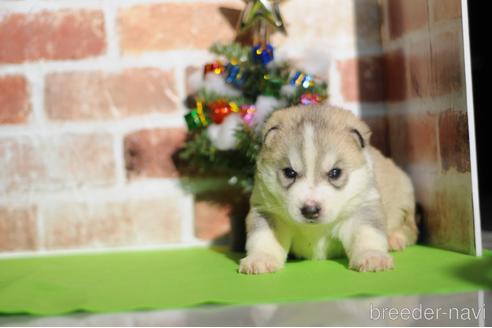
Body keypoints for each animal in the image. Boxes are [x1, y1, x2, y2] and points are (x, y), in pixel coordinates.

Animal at [240, 105, 418, 274]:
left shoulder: (363, 206)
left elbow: (367, 233)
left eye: (335, 173)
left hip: (404, 197)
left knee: (411, 229)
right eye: (289, 172)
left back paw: (395, 239)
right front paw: (260, 258)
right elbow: (264, 237)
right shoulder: (267, 210)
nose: (310, 210)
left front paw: (372, 256)